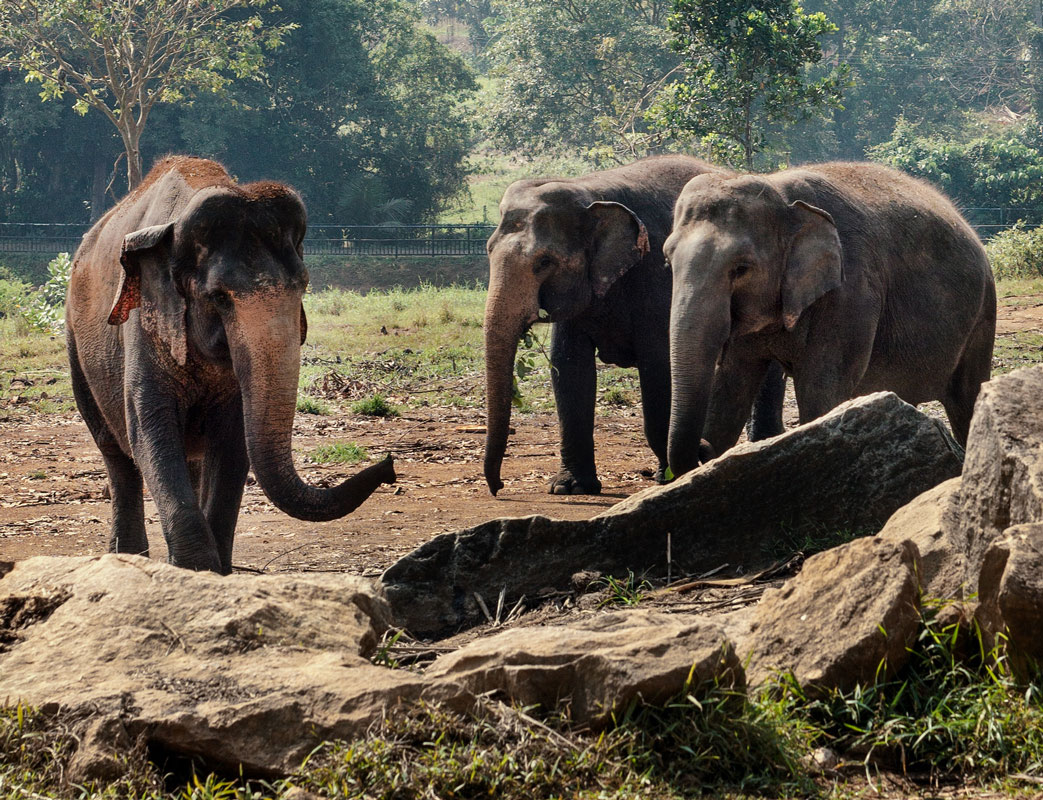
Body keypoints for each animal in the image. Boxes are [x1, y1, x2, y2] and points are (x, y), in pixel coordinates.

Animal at [65, 156, 396, 571]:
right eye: (219, 297)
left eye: (303, 286)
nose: (390, 466)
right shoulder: (143, 325)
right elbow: (150, 431)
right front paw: (196, 569)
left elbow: (234, 442)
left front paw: (216, 571)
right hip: (75, 342)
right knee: (116, 453)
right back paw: (125, 557)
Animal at [479, 153, 784, 496]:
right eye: (488, 251)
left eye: (544, 262)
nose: (498, 486)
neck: (589, 189)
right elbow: (570, 368)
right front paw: (570, 487)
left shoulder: (656, 281)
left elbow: (659, 366)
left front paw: (668, 477)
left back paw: (765, 446)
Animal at [663, 159, 997, 479]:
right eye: (667, 261)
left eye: (741, 268)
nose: (702, 449)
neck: (781, 193)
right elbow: (729, 390)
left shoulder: (852, 292)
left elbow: (820, 392)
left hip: (983, 316)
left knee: (966, 403)